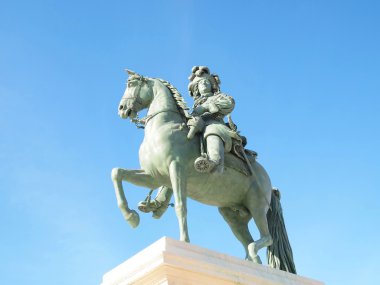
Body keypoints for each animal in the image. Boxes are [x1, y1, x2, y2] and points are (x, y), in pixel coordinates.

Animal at [111, 70, 296, 272]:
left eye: (131, 83)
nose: (122, 109)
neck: (164, 126)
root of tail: (269, 183)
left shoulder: (176, 169)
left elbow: (181, 207)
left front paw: (184, 241)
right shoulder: (155, 176)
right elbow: (117, 173)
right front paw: (131, 217)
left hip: (257, 206)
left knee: (266, 237)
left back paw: (253, 252)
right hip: (233, 214)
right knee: (249, 241)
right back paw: (251, 261)